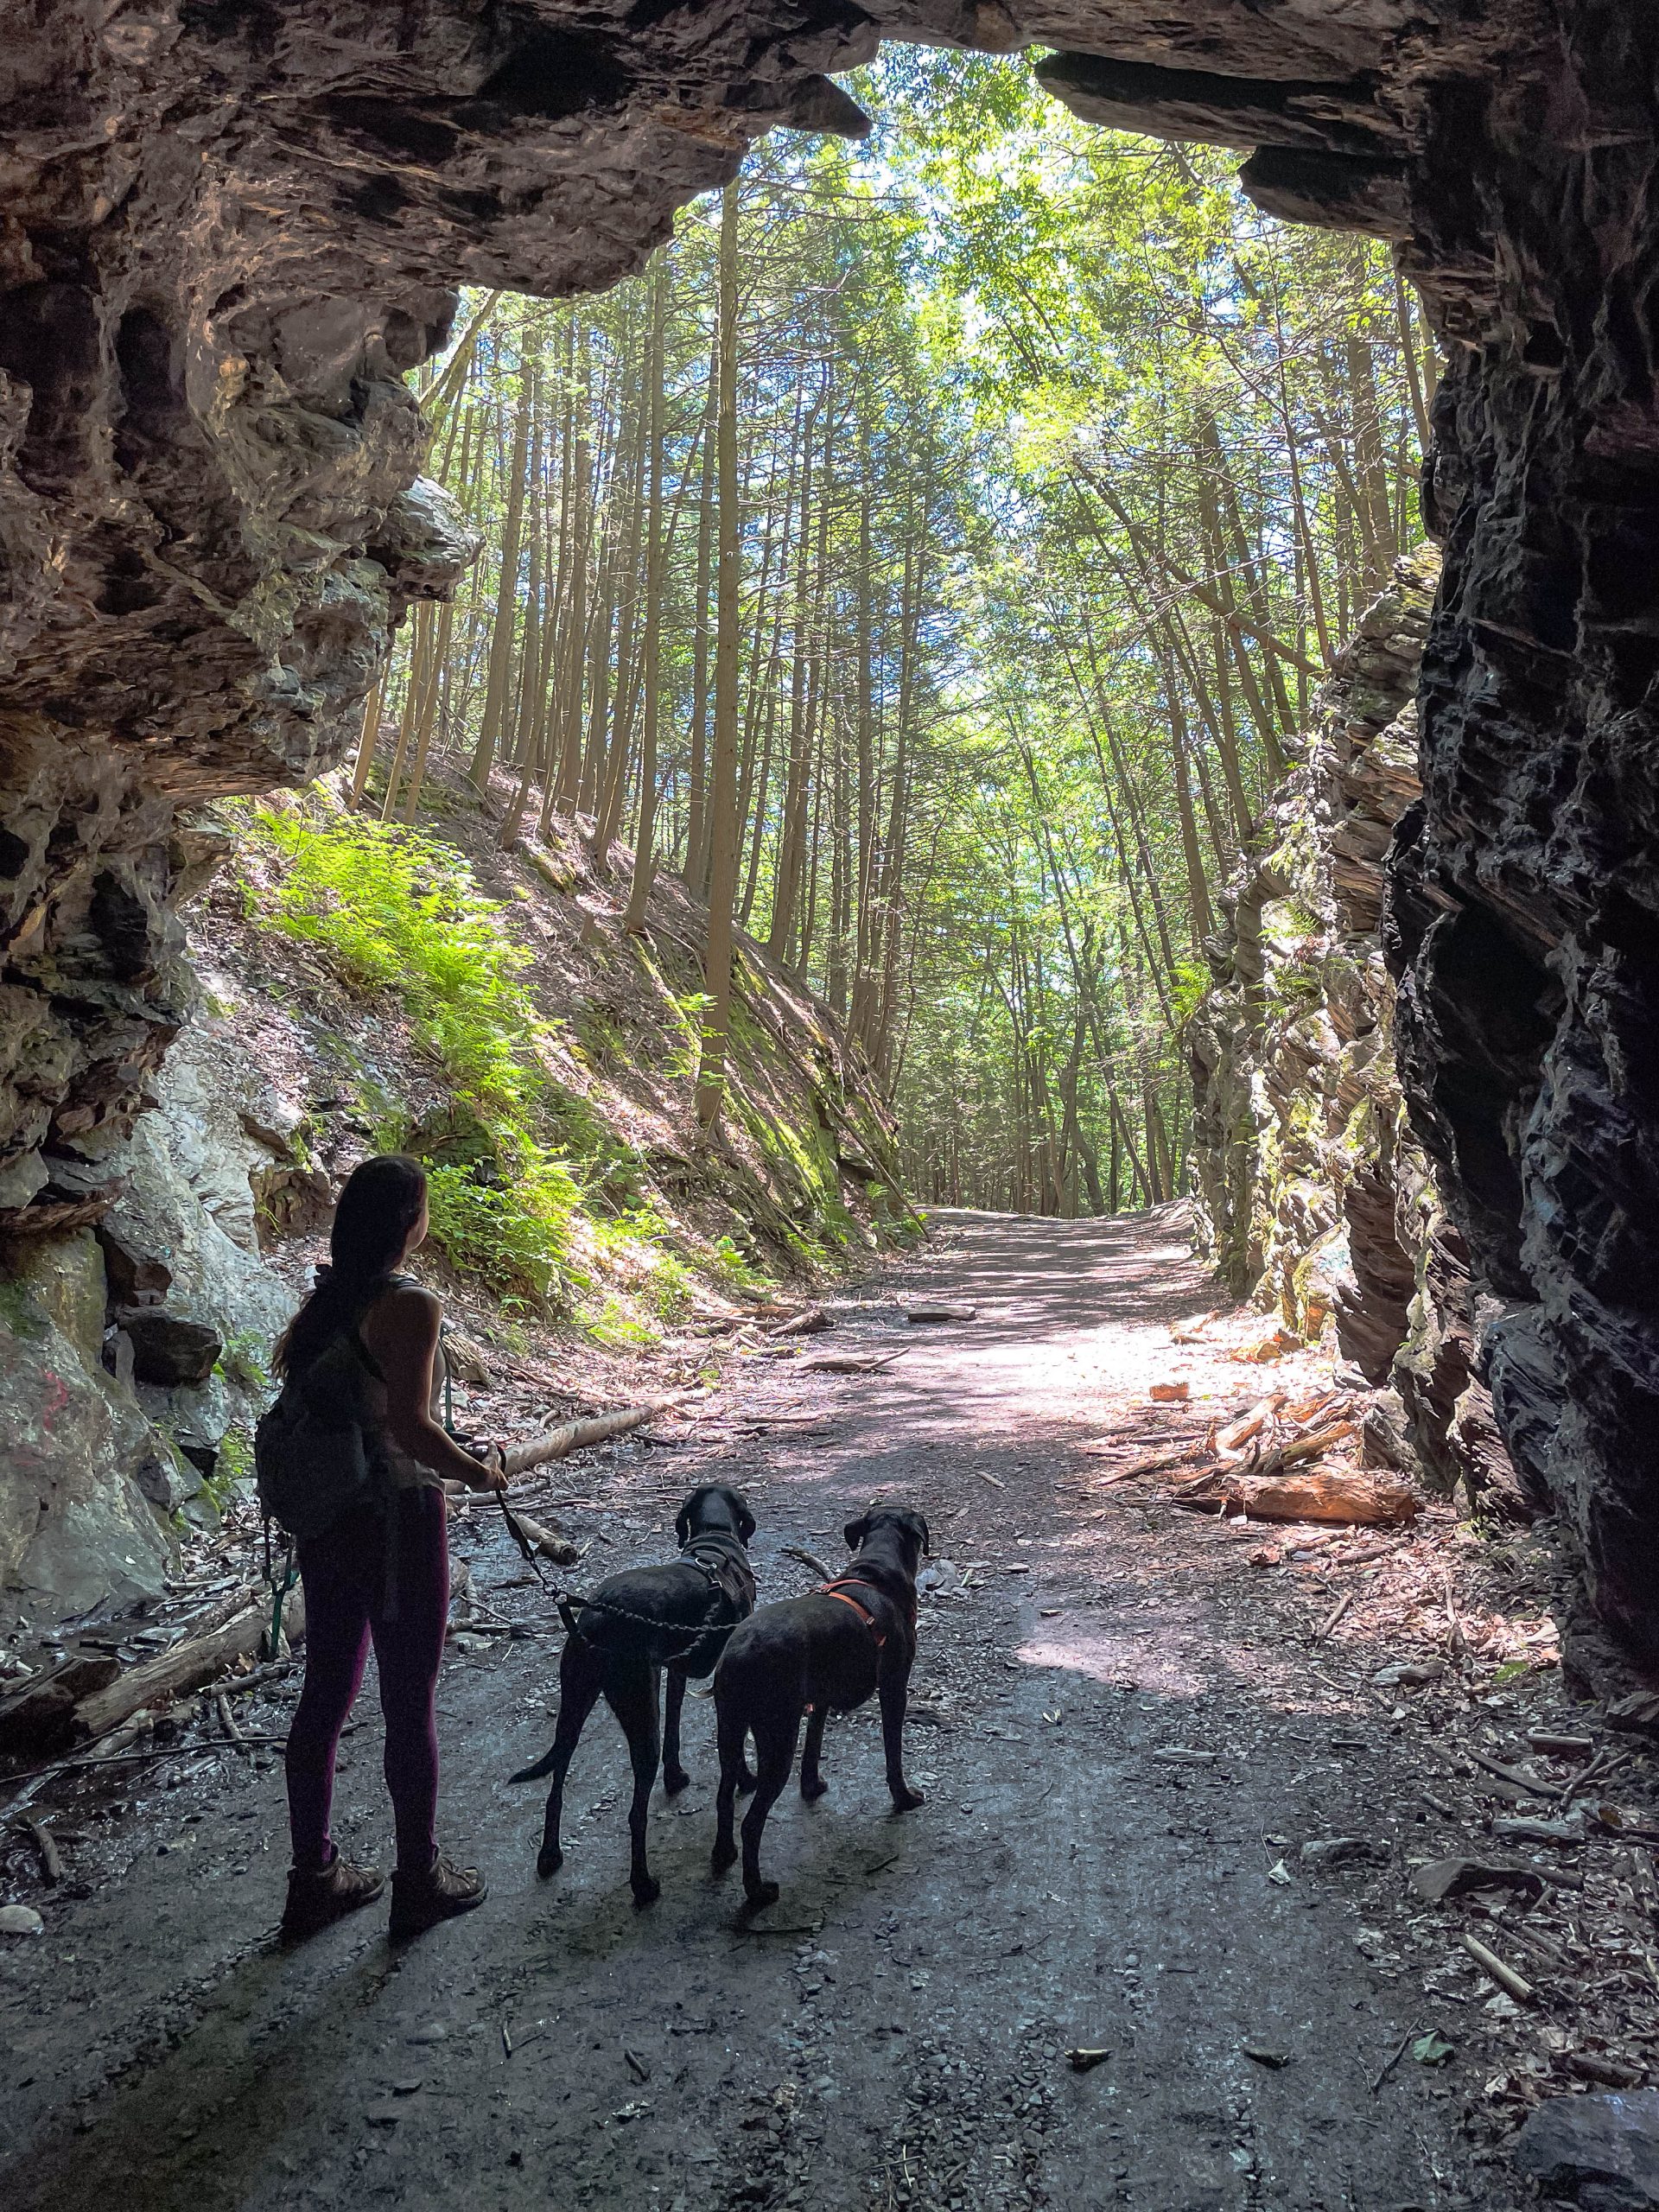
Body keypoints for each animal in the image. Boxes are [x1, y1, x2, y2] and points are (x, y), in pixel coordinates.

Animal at [512, 1486, 760, 1902]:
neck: (713, 1541)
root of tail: (597, 1618)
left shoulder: (674, 1672)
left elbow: (675, 1726)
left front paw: (675, 1776)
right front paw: (744, 1778)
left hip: (574, 1707)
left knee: (556, 1786)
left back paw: (549, 1856)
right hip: (638, 1716)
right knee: (635, 1813)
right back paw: (643, 1886)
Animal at [708, 1513, 929, 1910]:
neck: (878, 1573)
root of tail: (738, 1655)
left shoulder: (820, 1699)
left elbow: (814, 1744)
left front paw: (811, 1787)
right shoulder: (893, 1688)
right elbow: (893, 1756)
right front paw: (904, 1798)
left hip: (730, 1730)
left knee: (723, 1797)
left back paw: (723, 1854)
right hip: (777, 1741)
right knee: (751, 1824)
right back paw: (757, 1891)